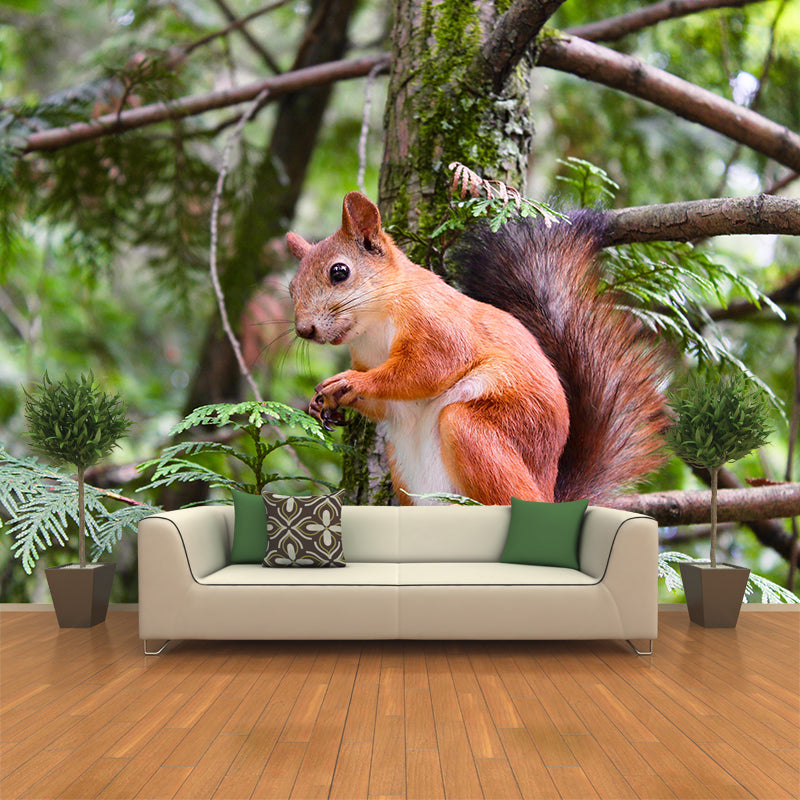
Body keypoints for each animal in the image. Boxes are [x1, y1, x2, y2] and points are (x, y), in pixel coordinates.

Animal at [286, 191, 666, 505]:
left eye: (339, 272)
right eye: (291, 288)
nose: (304, 330)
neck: (374, 327)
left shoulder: (439, 326)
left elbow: (425, 370)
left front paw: (350, 383)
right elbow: (386, 404)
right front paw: (324, 403)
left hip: (479, 431)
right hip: (402, 468)